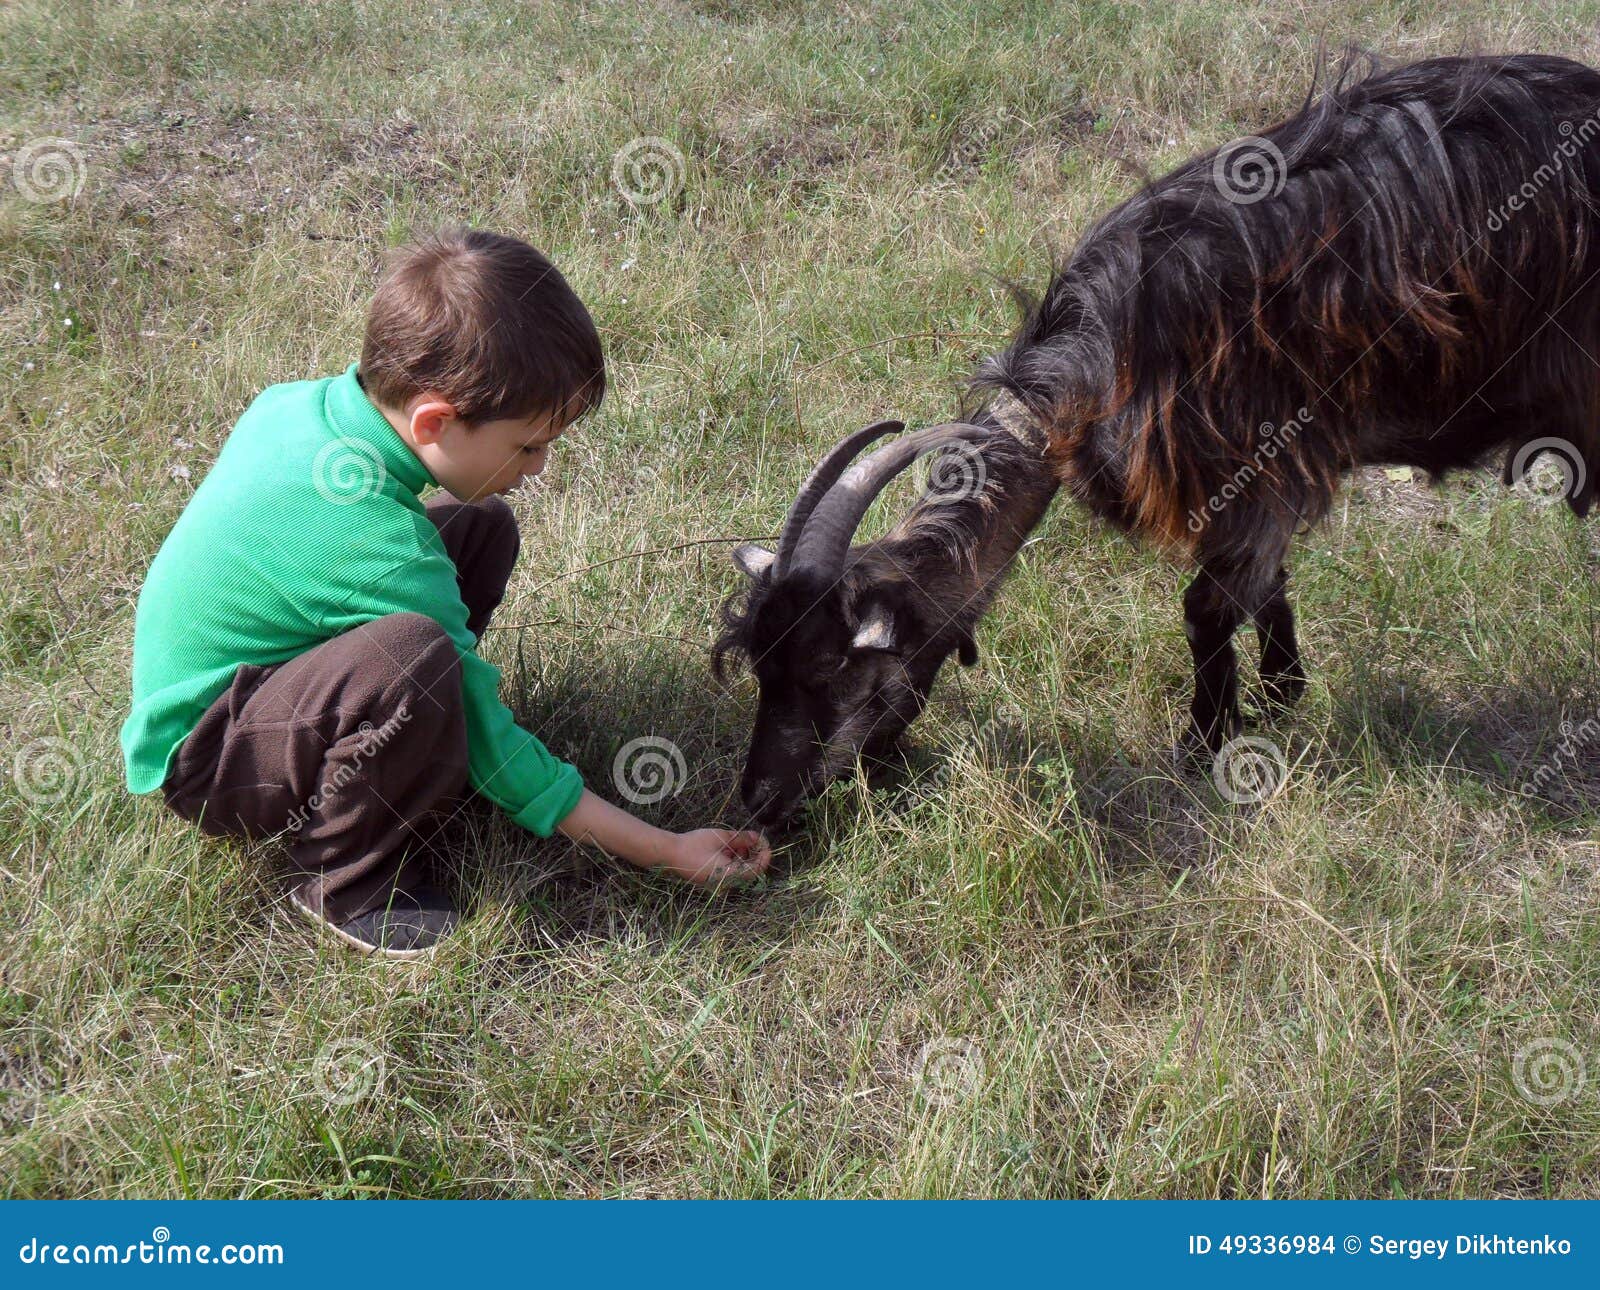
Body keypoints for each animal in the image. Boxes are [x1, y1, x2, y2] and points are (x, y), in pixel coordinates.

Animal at [715, 51, 1600, 827]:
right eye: (759, 662)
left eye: (830, 665)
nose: (760, 804)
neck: (1105, 356)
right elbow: (1265, 585)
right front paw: (1281, 692)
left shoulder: (1265, 456)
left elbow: (1208, 606)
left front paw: (1205, 744)